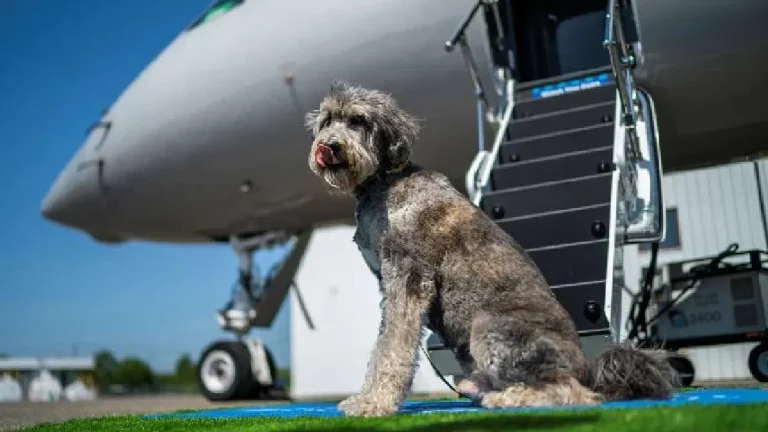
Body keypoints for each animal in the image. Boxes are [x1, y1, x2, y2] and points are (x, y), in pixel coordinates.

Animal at [304, 80, 680, 416]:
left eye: (359, 120)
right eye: (327, 121)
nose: (330, 146)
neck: (384, 182)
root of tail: (588, 369)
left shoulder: (407, 279)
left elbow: (393, 347)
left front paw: (374, 404)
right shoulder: (390, 283)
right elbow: (384, 343)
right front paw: (366, 398)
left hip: (489, 326)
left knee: (571, 392)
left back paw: (507, 399)